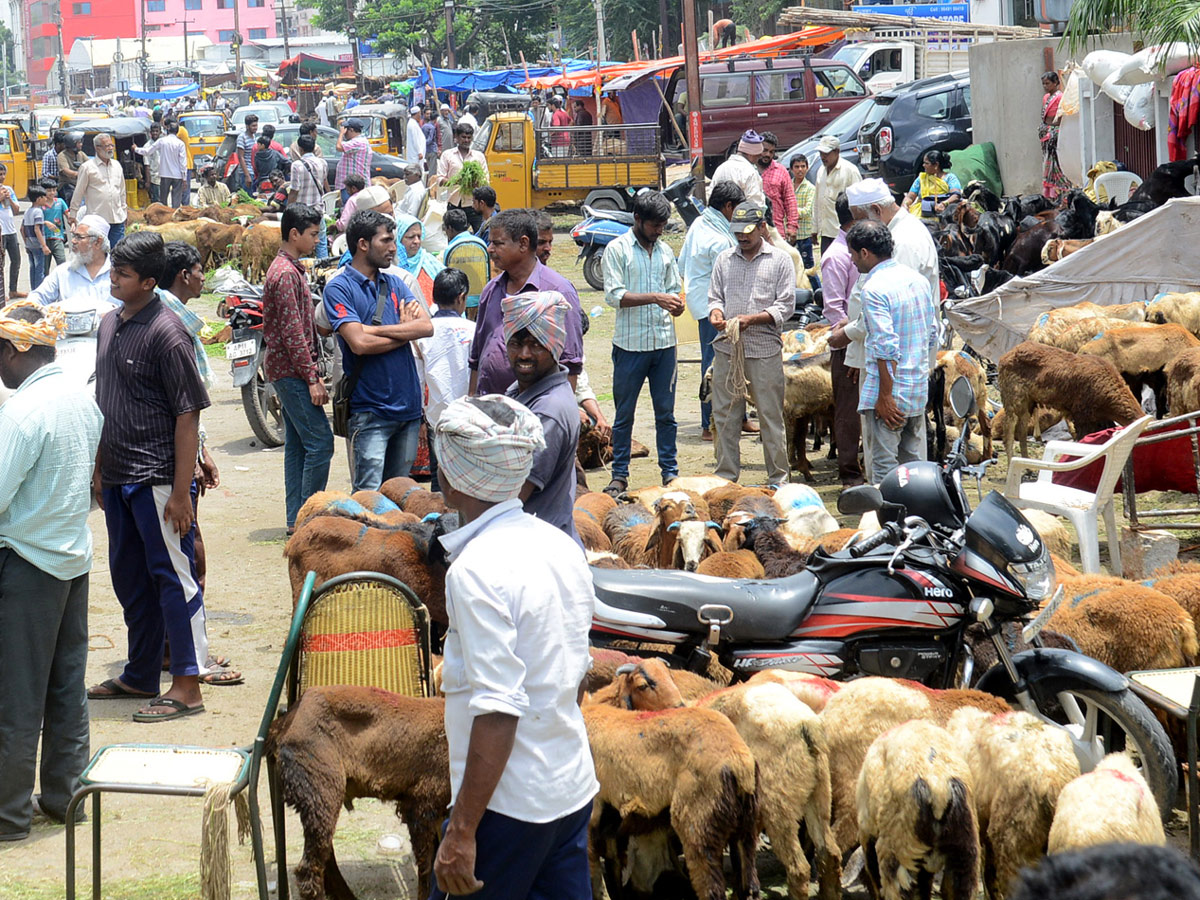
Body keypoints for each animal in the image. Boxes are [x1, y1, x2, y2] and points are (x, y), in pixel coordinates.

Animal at [265, 686, 448, 897]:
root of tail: (282, 723)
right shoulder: (421, 803)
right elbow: (427, 867)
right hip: (321, 786)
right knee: (309, 870)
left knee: (324, 857)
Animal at [993, 340, 1142, 460]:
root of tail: (1004, 357)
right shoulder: (1081, 414)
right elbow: (1082, 440)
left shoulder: (1099, 419)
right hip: (1013, 397)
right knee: (1008, 430)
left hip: (1029, 402)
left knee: (1021, 430)